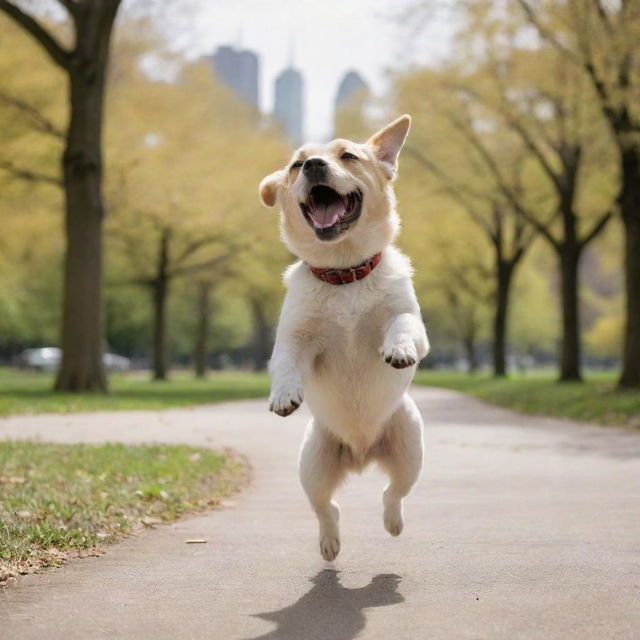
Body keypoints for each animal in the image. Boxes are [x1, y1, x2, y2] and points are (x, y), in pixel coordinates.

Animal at [258, 116, 428, 560]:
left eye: (348, 155)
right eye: (296, 165)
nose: (313, 165)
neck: (344, 273)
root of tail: (361, 453)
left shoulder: (411, 320)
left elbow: (402, 325)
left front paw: (397, 349)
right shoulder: (295, 339)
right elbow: (285, 362)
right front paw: (284, 395)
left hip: (410, 449)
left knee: (392, 494)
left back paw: (392, 523)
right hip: (313, 465)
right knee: (326, 509)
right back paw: (329, 543)